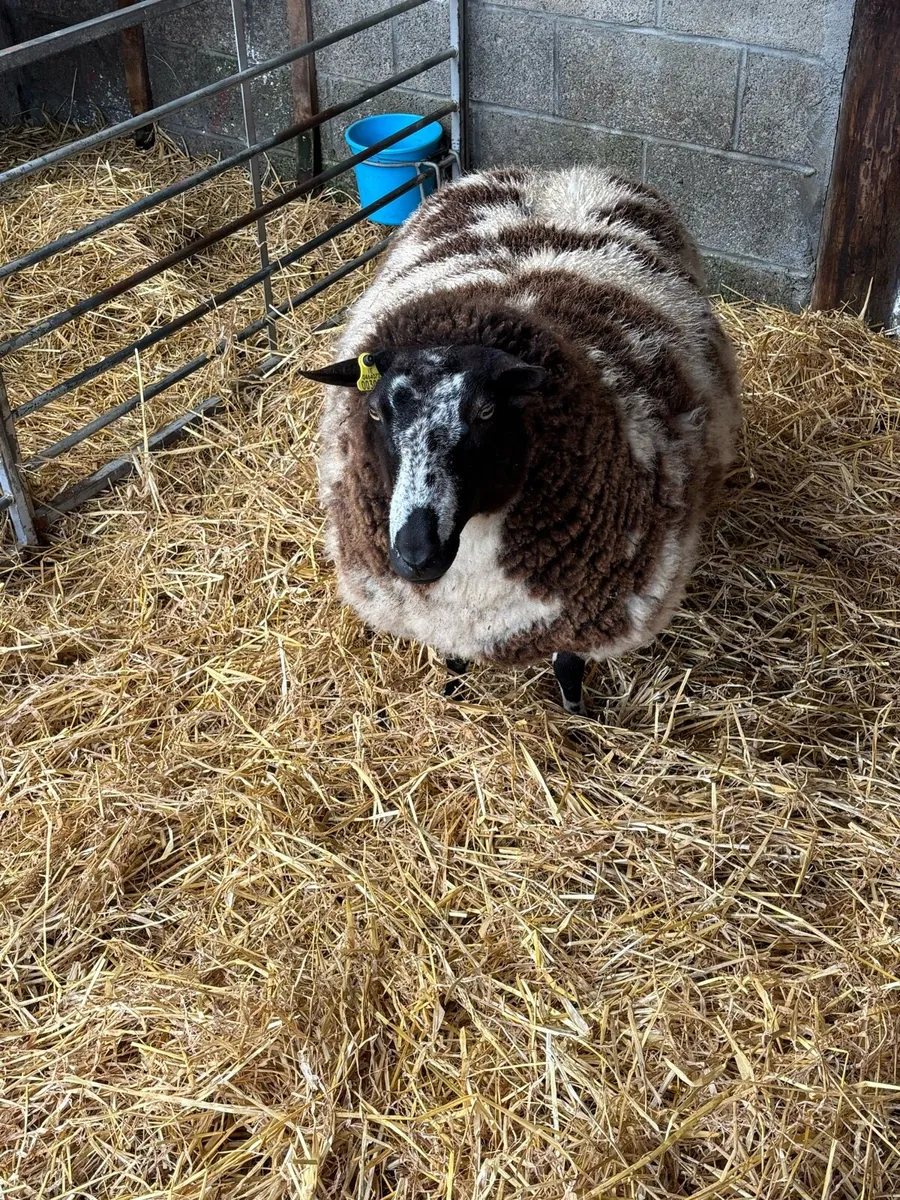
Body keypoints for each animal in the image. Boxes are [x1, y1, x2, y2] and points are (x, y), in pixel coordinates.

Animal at [303, 165, 741, 716]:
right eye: (377, 412)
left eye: (487, 412)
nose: (416, 553)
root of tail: (558, 175)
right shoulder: (447, 621)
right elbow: (454, 658)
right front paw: (454, 694)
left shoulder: (581, 616)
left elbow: (568, 666)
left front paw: (577, 715)